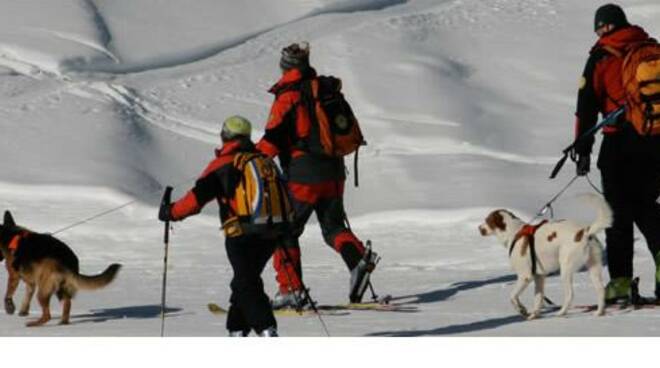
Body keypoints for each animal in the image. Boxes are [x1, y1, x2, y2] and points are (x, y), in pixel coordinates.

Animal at [476, 196, 612, 320]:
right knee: (601, 291)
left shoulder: (525, 276)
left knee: (570, 295)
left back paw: (561, 313)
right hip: (594, 268)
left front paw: (522, 309)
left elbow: (513, 296)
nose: (479, 228)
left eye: (487, 220)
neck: (514, 233)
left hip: (566, 269)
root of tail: (585, 232)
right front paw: (533, 315)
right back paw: (599, 313)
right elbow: (538, 299)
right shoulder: (539, 277)